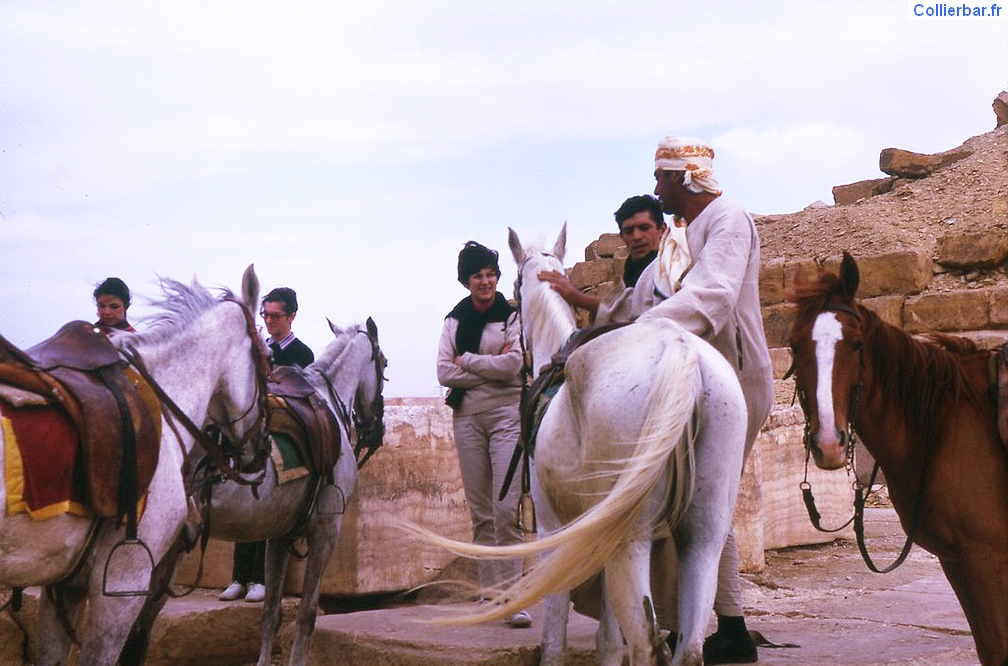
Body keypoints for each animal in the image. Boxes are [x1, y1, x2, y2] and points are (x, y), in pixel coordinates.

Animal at [407, 227, 749, 664]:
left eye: (513, 285)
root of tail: (681, 352)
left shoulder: (556, 527)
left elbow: (557, 626)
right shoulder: (594, 529)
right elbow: (608, 638)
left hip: (629, 536)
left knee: (646, 643)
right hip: (703, 528)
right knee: (688, 643)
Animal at [786, 250, 1008, 664]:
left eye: (857, 344)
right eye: (794, 345)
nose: (829, 443)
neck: (942, 422)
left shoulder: (987, 558)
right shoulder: (959, 562)